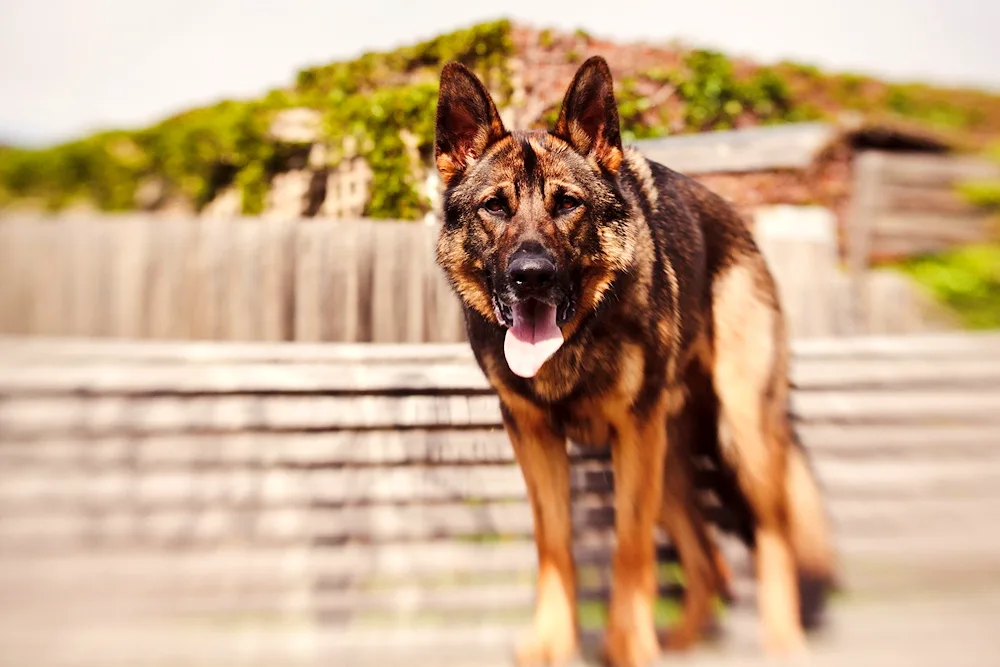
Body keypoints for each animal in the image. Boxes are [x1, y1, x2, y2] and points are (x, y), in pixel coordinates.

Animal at [430, 58, 836, 667]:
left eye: (567, 203)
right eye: (495, 207)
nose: (531, 276)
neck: (575, 339)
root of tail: (737, 220)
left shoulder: (634, 438)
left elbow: (631, 551)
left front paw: (629, 648)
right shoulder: (535, 438)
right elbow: (555, 546)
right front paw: (554, 643)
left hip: (739, 436)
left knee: (772, 536)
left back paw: (781, 642)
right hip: (666, 464)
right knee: (708, 559)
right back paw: (686, 642)